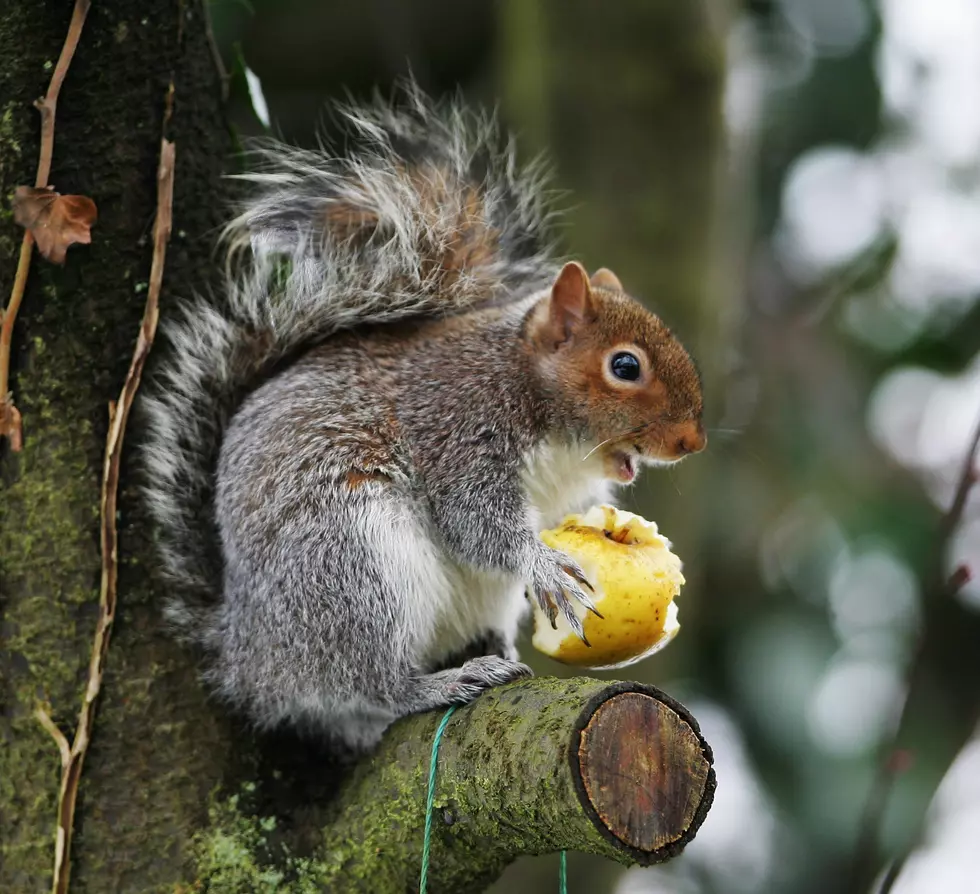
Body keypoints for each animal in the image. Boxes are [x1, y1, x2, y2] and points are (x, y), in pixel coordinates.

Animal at [140, 86, 704, 756]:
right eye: (625, 366)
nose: (692, 441)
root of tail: (249, 658)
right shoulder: (457, 426)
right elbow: (475, 521)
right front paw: (543, 564)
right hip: (351, 565)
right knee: (372, 681)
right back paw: (438, 683)